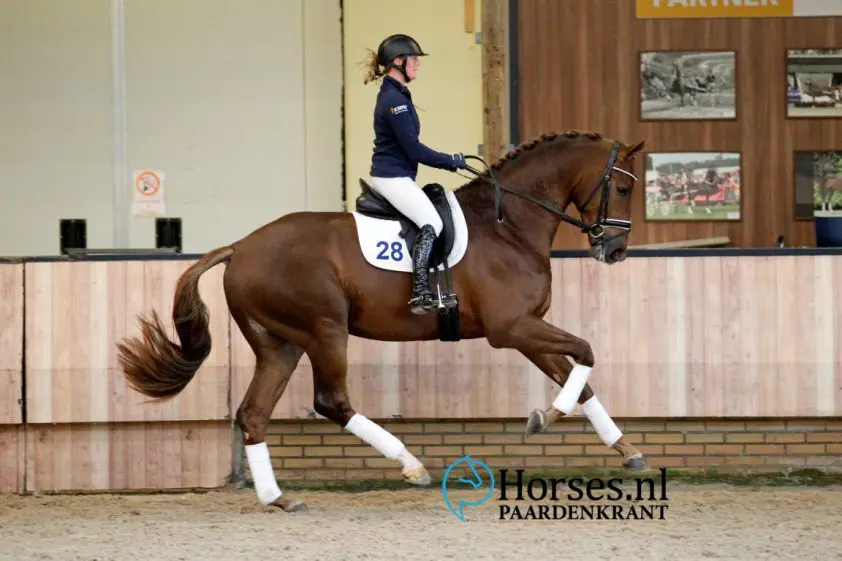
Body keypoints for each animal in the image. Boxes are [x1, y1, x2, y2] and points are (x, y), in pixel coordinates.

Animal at [115, 129, 648, 513]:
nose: (616, 250)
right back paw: (411, 465)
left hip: (279, 344)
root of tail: (240, 247)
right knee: (331, 401)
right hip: (325, 329)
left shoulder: (527, 329)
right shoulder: (510, 328)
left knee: (253, 413)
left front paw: (623, 449)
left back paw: (278, 498)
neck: (509, 225)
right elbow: (586, 353)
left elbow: (580, 379)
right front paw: (546, 418)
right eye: (622, 187)